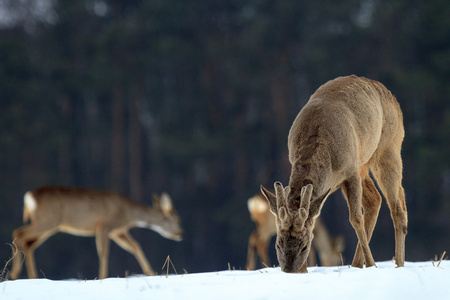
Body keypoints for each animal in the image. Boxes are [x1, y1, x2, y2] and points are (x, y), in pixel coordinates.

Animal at [8, 185, 182, 278]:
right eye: (175, 219)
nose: (181, 233)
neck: (128, 214)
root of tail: (28, 197)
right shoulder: (105, 226)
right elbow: (103, 253)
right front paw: (102, 277)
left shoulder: (118, 230)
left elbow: (135, 246)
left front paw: (150, 272)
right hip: (47, 220)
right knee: (19, 233)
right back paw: (14, 273)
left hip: (49, 225)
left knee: (27, 242)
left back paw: (31, 277)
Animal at [260, 74, 408, 272]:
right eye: (278, 244)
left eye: (304, 246)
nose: (290, 270)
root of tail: (391, 96)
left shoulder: (350, 170)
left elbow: (355, 218)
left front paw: (372, 264)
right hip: (364, 164)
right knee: (375, 200)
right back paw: (356, 265)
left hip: (389, 148)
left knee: (397, 207)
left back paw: (398, 264)